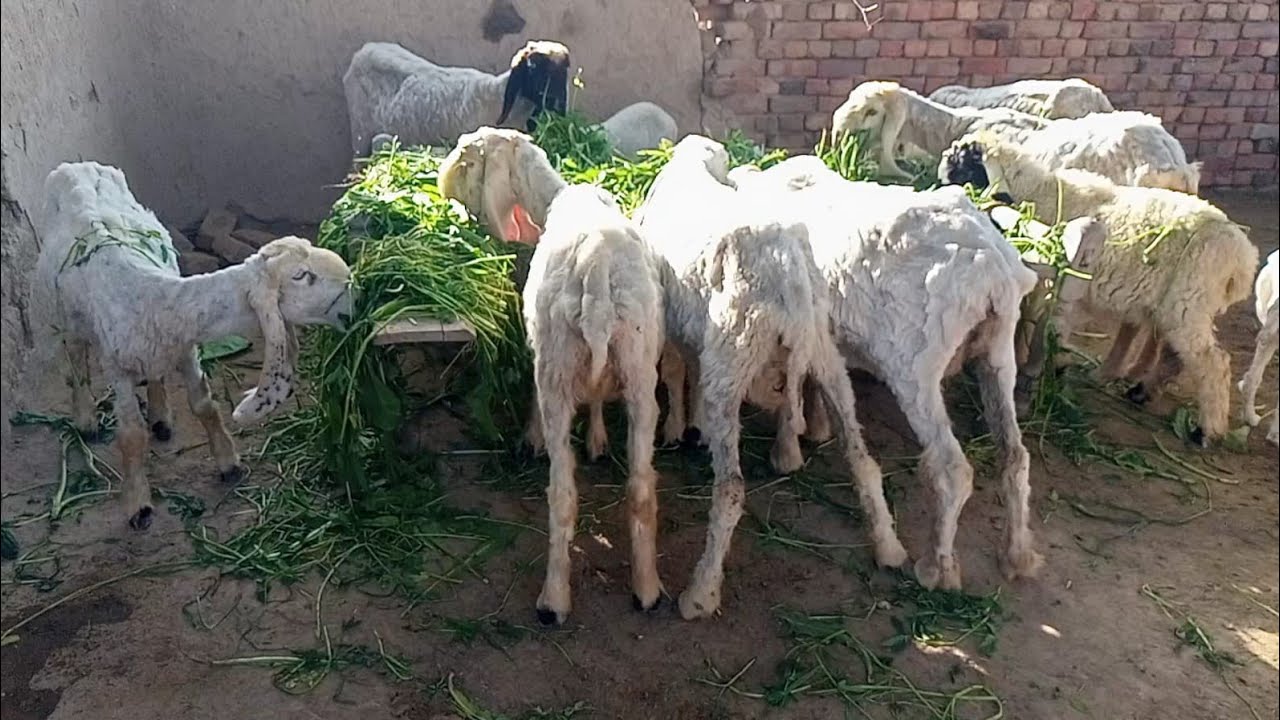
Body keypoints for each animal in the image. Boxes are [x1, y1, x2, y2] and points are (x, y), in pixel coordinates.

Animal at [36, 162, 353, 530]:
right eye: (302, 276)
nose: (352, 289)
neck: (155, 301)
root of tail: (78, 166)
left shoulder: (186, 350)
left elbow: (203, 404)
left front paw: (229, 463)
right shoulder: (117, 368)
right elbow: (131, 435)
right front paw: (138, 504)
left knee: (154, 376)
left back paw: (161, 417)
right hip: (64, 311)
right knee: (75, 356)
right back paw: (86, 418)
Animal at [438, 127, 666, 625]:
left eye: (469, 161)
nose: (446, 191)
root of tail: (598, 275)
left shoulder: (541, 353)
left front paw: (533, 436)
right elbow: (597, 396)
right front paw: (598, 439)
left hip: (557, 367)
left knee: (562, 495)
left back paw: (553, 600)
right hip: (640, 372)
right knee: (641, 488)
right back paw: (647, 590)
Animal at [632, 136, 900, 619]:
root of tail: (789, 276)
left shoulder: (670, 319)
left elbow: (678, 368)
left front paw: (680, 426)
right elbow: (689, 368)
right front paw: (692, 424)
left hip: (733, 353)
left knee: (731, 490)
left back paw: (700, 594)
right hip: (825, 353)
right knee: (863, 459)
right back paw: (889, 548)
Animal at [727, 154, 1045, 592]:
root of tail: (995, 271)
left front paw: (790, 446)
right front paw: (815, 426)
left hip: (915, 366)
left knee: (952, 469)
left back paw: (937, 569)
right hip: (998, 355)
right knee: (1015, 456)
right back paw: (1018, 556)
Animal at [939, 135, 1258, 444]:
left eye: (964, 166)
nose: (941, 176)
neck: (1040, 191)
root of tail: (1243, 260)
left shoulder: (1051, 284)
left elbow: (1036, 333)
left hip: (1189, 305)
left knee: (1213, 362)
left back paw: (1207, 430)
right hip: (1178, 307)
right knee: (1175, 355)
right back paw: (1142, 391)